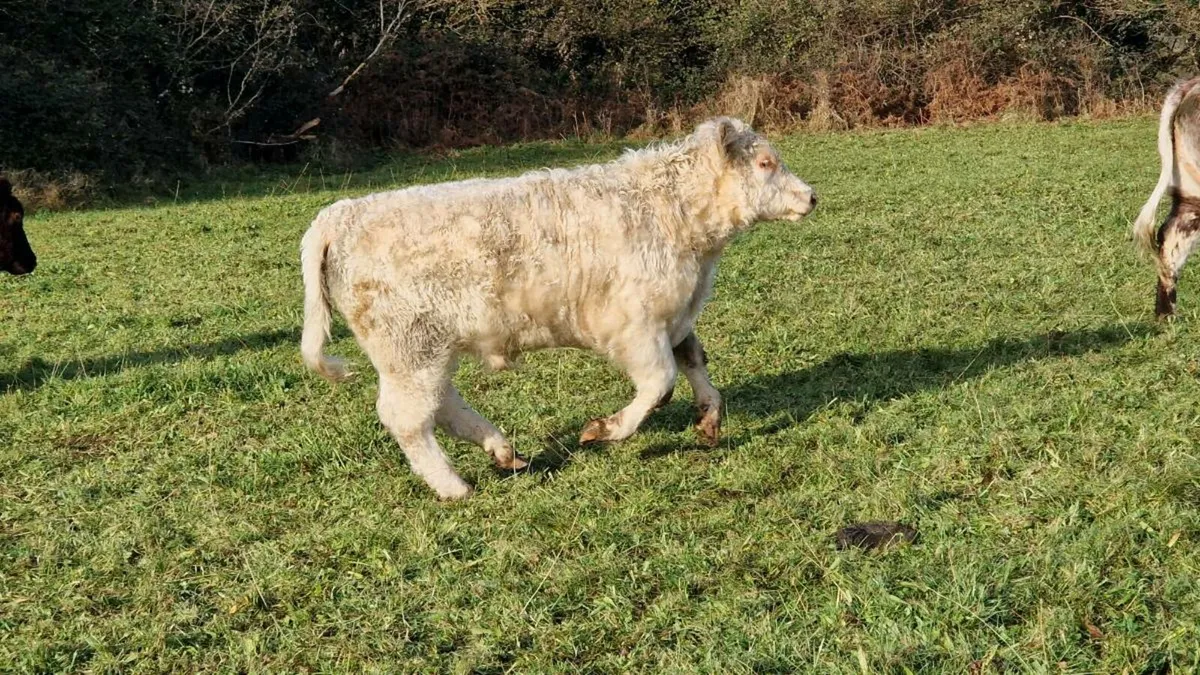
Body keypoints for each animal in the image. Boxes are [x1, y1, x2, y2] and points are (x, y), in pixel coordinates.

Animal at [299, 117, 817, 499]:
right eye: (766, 162)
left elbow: (694, 361)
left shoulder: (676, 315)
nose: (812, 196)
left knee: (441, 404)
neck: (675, 217)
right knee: (408, 418)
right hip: (408, 347)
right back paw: (454, 486)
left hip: (426, 348)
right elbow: (659, 384)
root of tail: (340, 212)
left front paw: (709, 419)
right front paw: (605, 430)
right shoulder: (636, 324)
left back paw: (502, 450)